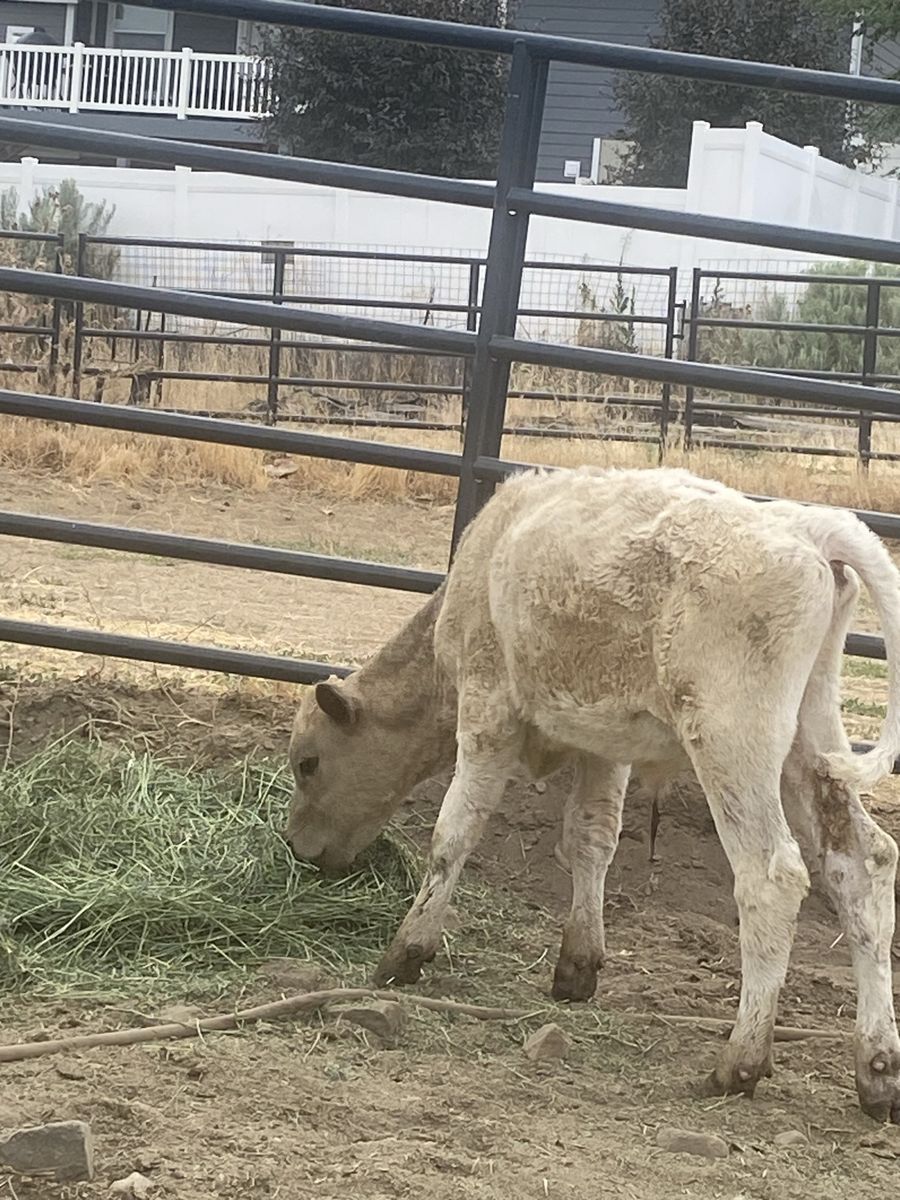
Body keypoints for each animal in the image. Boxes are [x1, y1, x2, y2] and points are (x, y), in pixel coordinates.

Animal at [285, 465, 900, 1122]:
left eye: (309, 763)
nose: (297, 845)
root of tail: (812, 528)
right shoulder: (604, 747)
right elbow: (591, 839)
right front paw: (577, 967)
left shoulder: (488, 710)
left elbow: (455, 831)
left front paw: (406, 953)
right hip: (811, 745)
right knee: (861, 863)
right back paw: (876, 1068)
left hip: (733, 743)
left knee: (772, 877)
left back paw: (740, 1061)